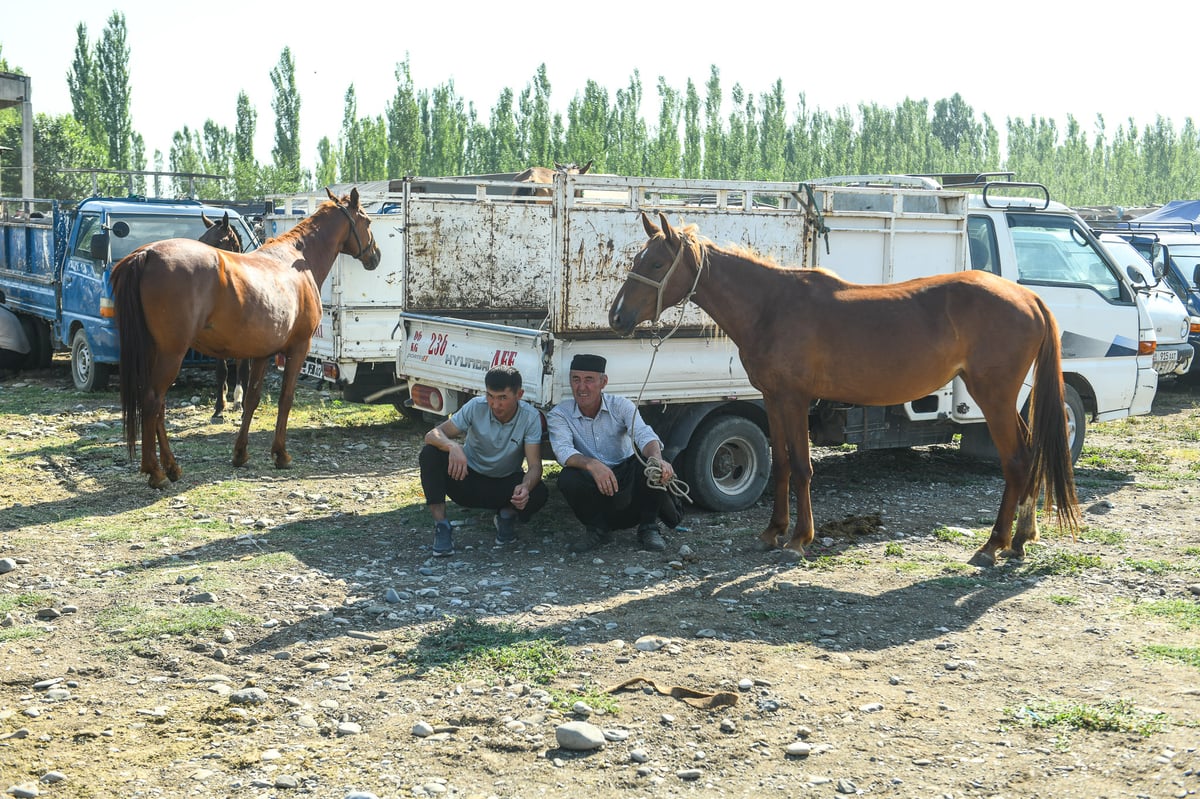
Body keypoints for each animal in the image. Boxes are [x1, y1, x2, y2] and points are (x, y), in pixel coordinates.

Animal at [114, 188, 379, 484]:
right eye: (368, 221)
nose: (375, 256)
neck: (298, 260)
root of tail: (147, 253)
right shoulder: (298, 349)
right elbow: (285, 399)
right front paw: (281, 455)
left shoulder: (262, 354)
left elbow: (251, 400)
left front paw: (240, 454)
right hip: (171, 354)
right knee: (153, 401)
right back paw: (156, 471)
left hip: (154, 353)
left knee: (156, 405)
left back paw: (171, 467)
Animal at [609, 208, 1080, 563]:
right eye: (636, 260)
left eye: (655, 264)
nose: (617, 317)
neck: (771, 306)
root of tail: (1028, 297)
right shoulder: (774, 399)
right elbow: (782, 465)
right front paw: (773, 532)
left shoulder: (796, 400)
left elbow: (802, 468)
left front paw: (799, 539)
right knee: (1031, 456)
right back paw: (1022, 539)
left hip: (995, 396)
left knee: (1017, 461)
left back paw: (995, 545)